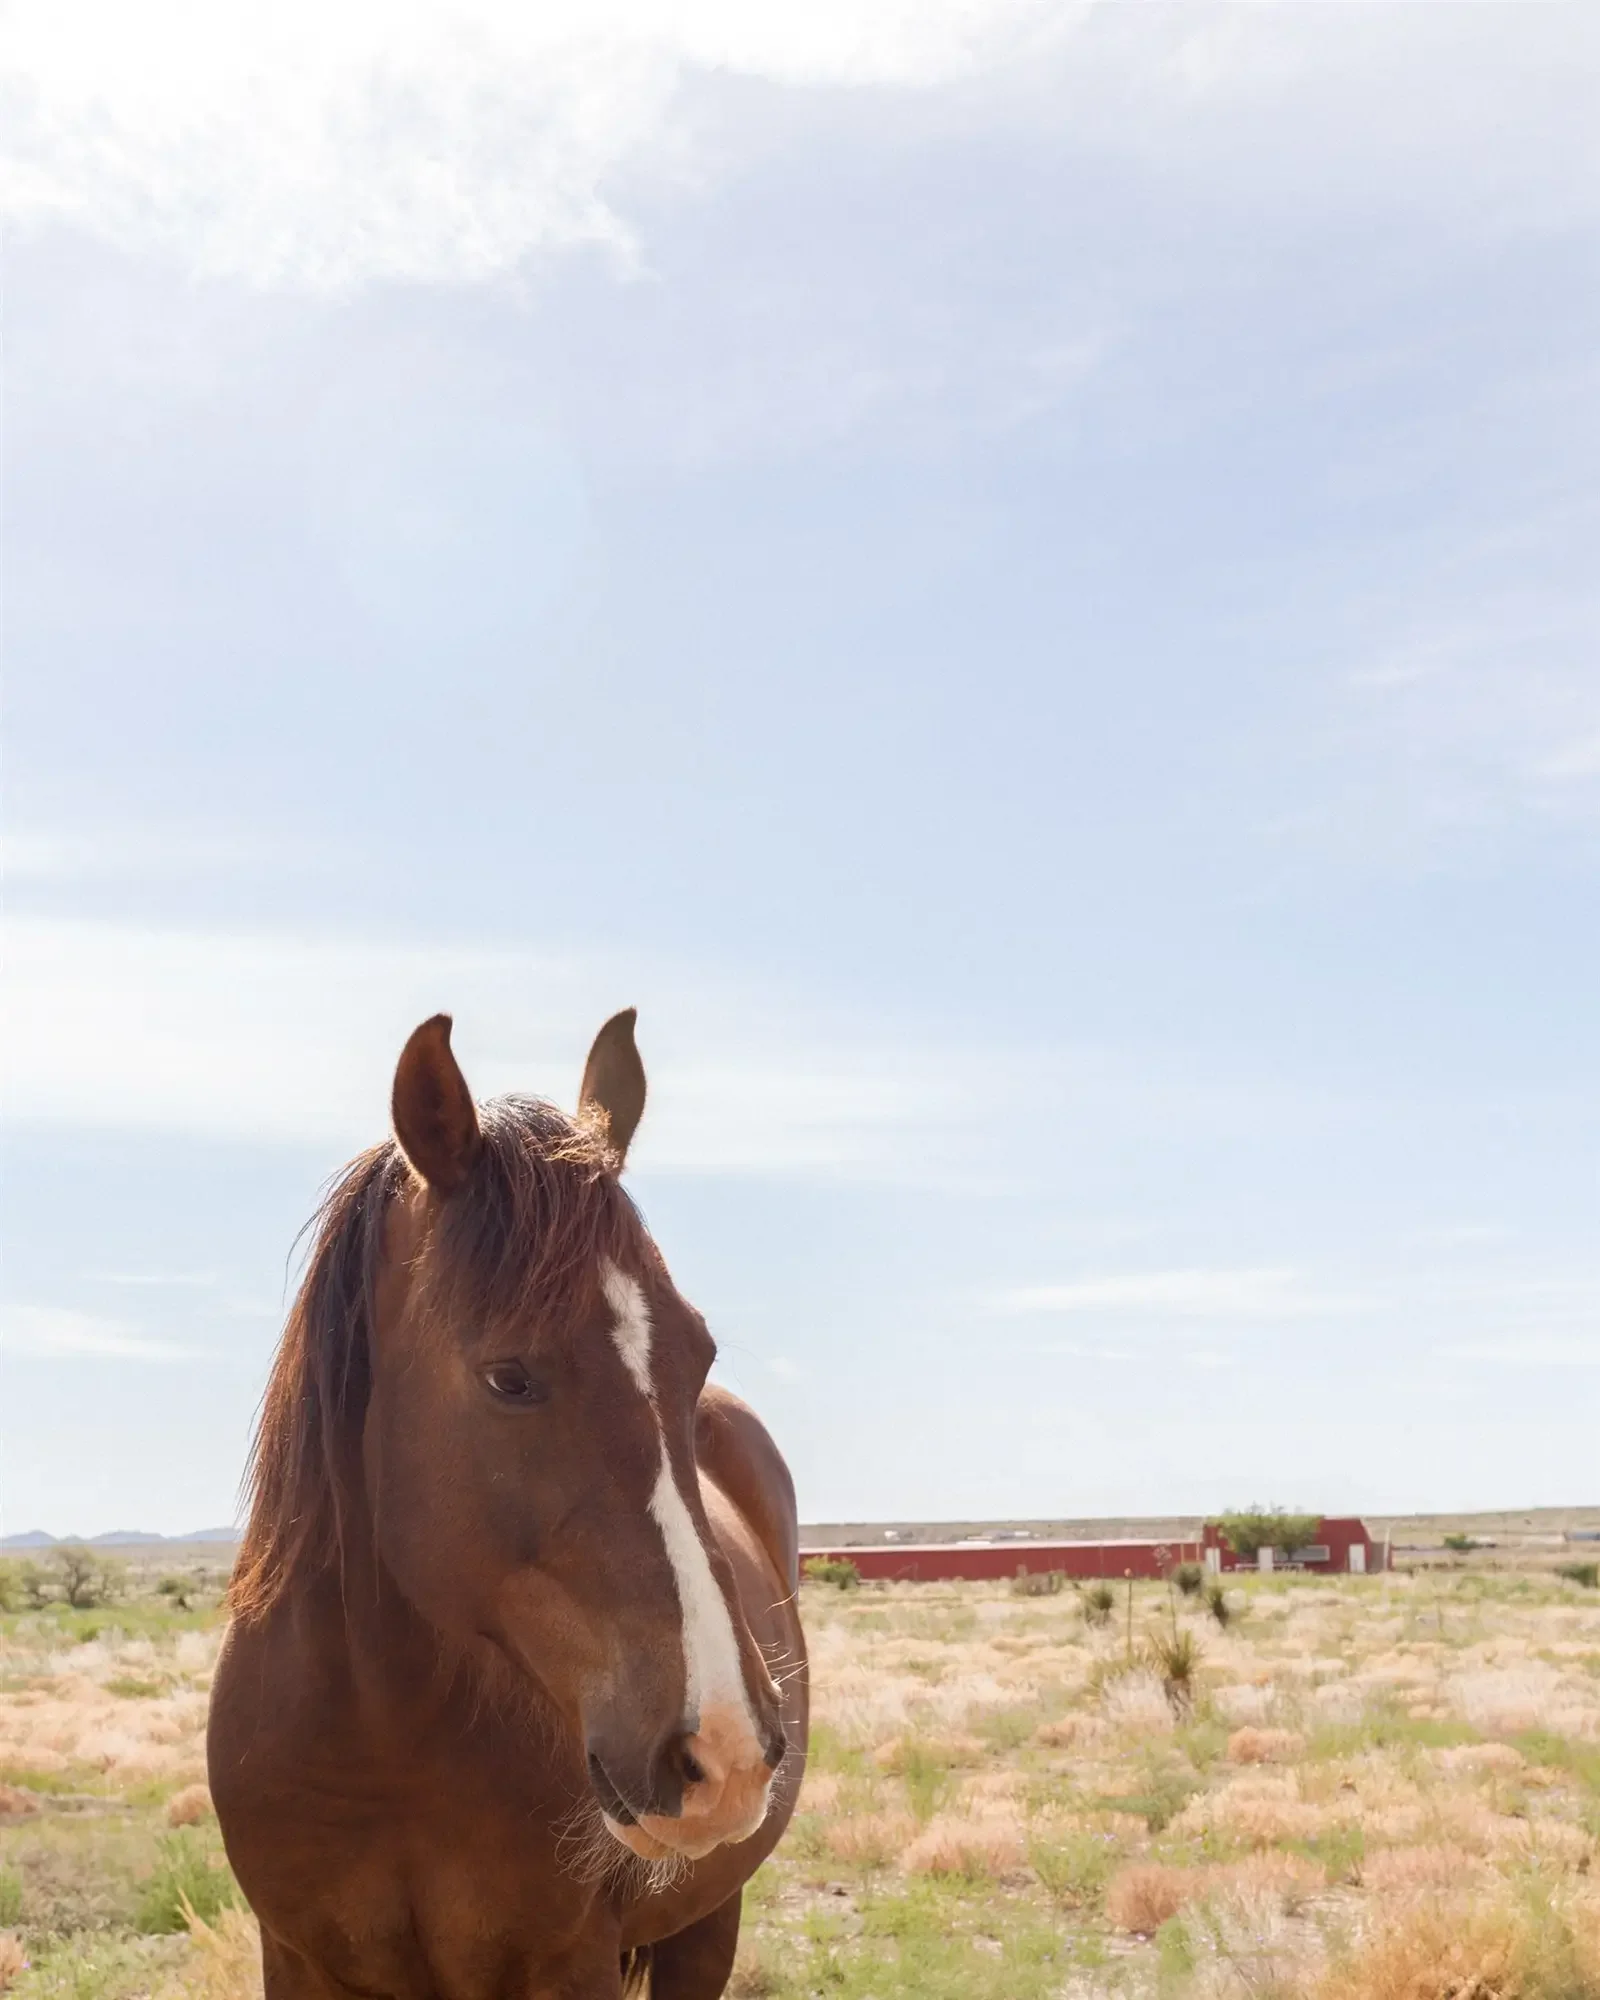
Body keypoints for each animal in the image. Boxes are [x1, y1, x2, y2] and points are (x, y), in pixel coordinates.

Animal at [208, 1010, 808, 2000]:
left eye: (700, 1357)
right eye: (509, 1377)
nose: (725, 1751)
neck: (386, 1746)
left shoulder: (569, 1964)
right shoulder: (295, 1960)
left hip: (707, 1922)